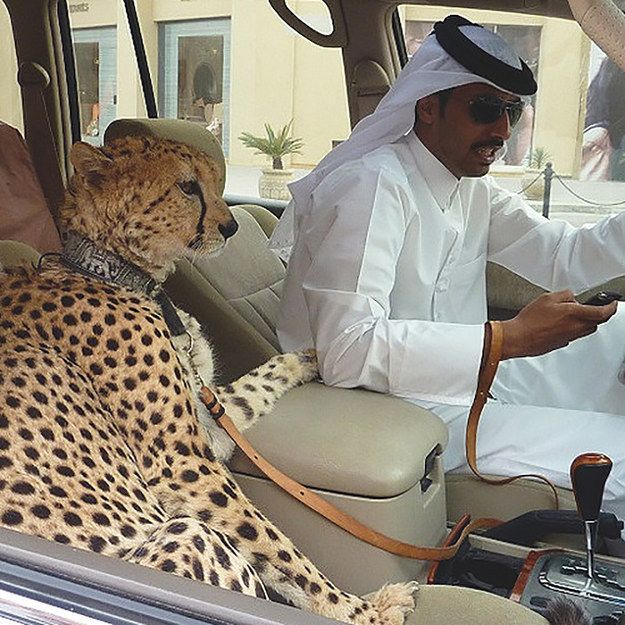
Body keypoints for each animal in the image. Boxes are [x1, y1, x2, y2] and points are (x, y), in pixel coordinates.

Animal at [1, 138, 420, 624]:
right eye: (187, 186)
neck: (108, 266)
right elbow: (280, 549)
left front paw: (311, 357)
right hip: (187, 533)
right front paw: (364, 611)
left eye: (215, 181)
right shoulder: (182, 463)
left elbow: (261, 379)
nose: (232, 225)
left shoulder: (209, 418)